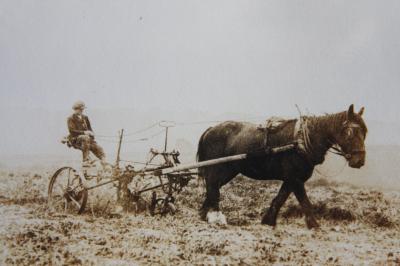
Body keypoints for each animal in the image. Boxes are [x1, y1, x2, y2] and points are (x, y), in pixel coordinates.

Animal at [195, 105, 368, 228]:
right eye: (350, 132)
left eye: (365, 132)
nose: (359, 161)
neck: (302, 139)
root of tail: (210, 130)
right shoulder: (295, 178)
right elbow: (305, 202)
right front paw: (314, 225)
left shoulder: (291, 179)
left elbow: (280, 198)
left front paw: (268, 220)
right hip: (218, 168)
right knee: (213, 187)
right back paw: (215, 216)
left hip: (228, 170)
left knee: (213, 187)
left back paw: (205, 213)